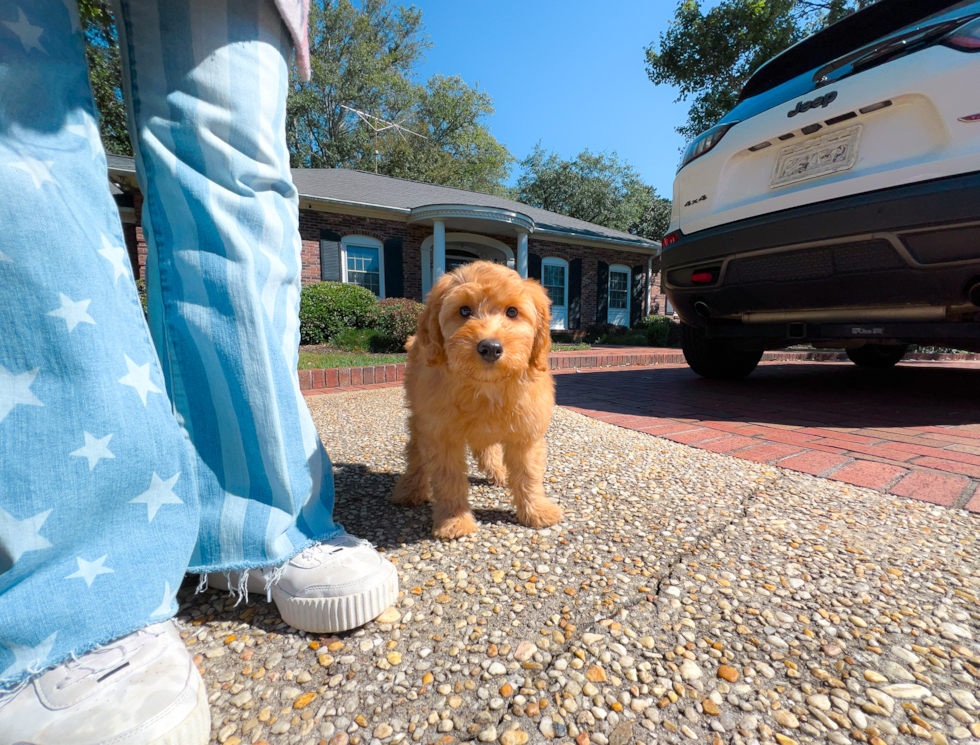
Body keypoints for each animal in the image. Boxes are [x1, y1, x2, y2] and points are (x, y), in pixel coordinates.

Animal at [388, 258, 560, 536]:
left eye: (513, 312)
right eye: (464, 310)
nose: (490, 347)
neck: (485, 386)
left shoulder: (526, 433)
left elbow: (529, 474)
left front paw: (537, 511)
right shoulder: (441, 433)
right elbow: (448, 479)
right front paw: (455, 521)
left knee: (486, 445)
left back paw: (497, 471)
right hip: (419, 416)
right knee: (415, 451)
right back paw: (410, 488)